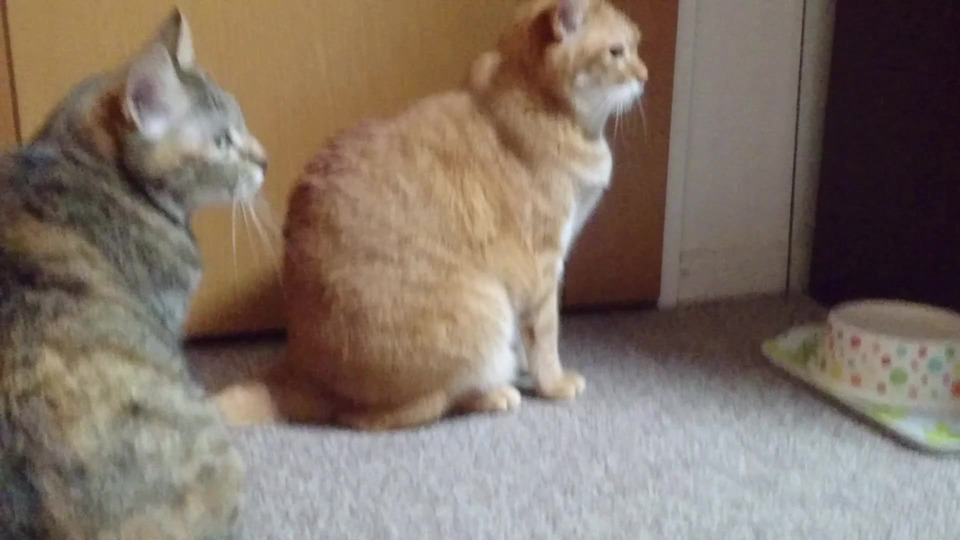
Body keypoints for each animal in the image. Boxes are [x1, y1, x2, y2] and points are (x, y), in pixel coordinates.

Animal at [216, 0, 647, 430]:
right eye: (617, 52)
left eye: (636, 47)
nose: (645, 76)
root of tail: (299, 365)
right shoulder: (542, 266)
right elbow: (545, 336)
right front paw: (552, 383)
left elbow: (530, 344)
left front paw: (528, 370)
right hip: (484, 312)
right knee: (390, 412)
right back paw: (494, 393)